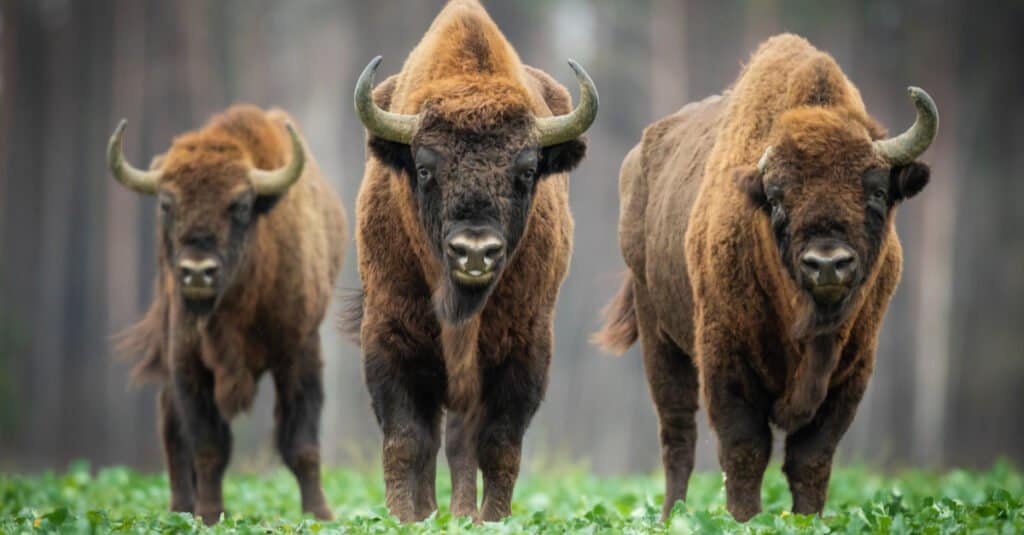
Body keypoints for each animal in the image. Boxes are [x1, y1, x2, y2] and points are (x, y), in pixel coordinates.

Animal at [108, 106, 346, 522]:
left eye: (240, 205)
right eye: (166, 204)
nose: (197, 271)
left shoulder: (300, 352)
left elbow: (301, 444)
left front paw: (319, 515)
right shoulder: (188, 362)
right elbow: (208, 446)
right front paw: (208, 515)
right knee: (172, 428)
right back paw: (180, 509)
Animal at [348, 0, 598, 520]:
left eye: (528, 170)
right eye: (425, 168)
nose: (476, 251)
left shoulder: (524, 349)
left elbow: (497, 445)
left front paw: (491, 520)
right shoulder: (389, 337)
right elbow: (406, 441)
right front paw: (405, 519)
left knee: (462, 443)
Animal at [598, 34, 937, 520]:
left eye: (876, 191)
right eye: (777, 199)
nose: (827, 263)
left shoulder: (853, 369)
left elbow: (811, 458)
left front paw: (808, 521)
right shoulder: (726, 359)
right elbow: (745, 449)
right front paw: (745, 520)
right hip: (658, 335)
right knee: (677, 435)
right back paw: (671, 517)